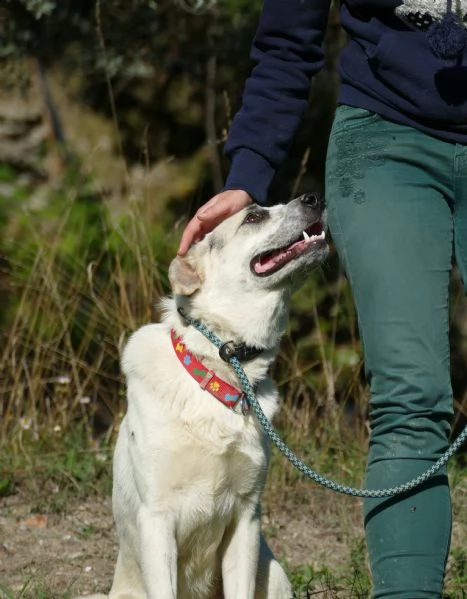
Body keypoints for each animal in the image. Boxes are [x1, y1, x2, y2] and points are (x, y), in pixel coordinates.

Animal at [80, 195, 328, 599]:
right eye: (254, 216)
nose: (313, 197)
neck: (219, 372)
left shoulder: (246, 516)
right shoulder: (157, 520)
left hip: (273, 573)